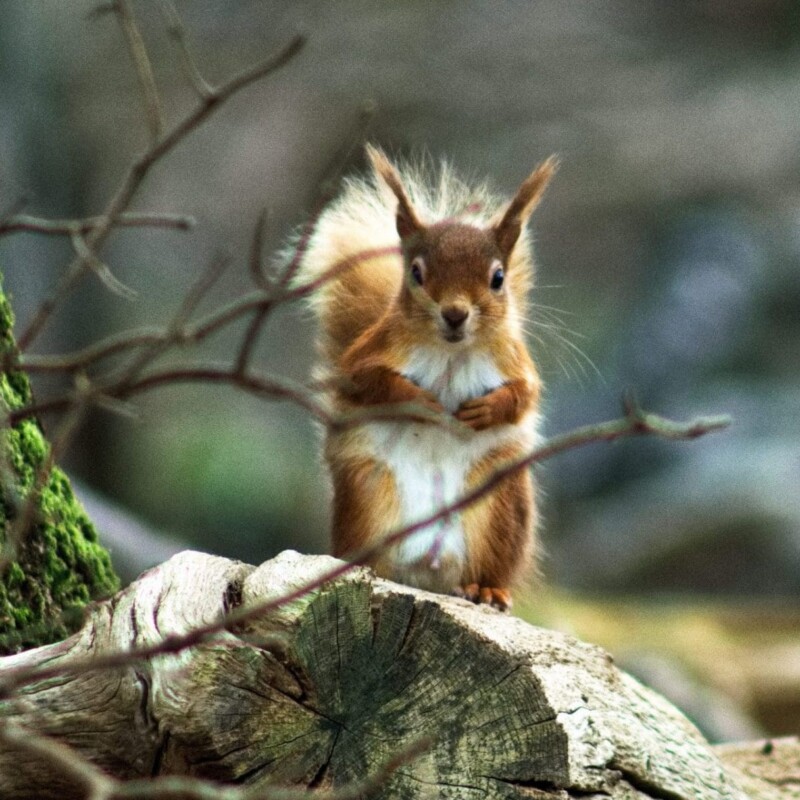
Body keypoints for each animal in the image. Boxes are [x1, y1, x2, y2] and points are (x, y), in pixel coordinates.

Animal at [295, 145, 557, 610]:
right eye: (416, 272)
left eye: (498, 278)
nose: (454, 313)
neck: (451, 352)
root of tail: (428, 568)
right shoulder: (371, 351)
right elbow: (365, 381)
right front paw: (419, 400)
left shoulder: (515, 360)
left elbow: (525, 395)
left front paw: (487, 409)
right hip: (368, 492)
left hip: (498, 502)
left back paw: (487, 589)